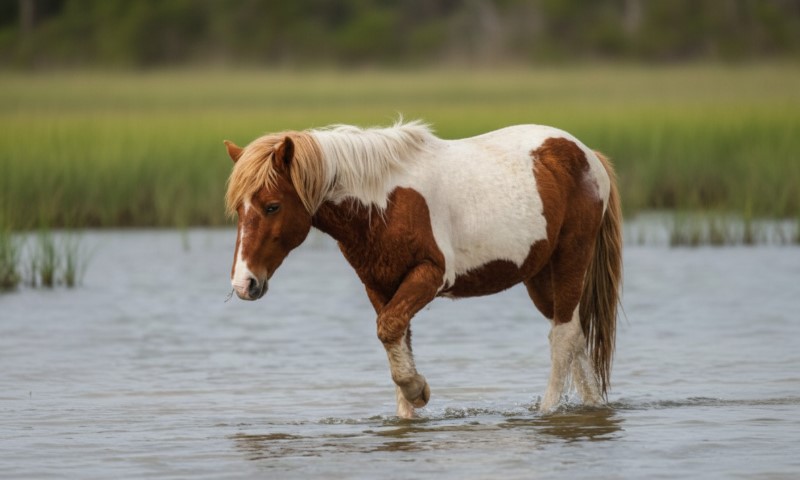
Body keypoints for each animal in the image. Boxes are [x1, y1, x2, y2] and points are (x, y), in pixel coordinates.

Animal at [224, 120, 622, 418]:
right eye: (240, 209)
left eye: (272, 206)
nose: (245, 283)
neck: (382, 204)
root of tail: (587, 155)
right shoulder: (380, 286)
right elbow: (396, 337)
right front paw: (409, 408)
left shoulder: (429, 275)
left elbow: (389, 330)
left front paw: (418, 390)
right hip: (540, 277)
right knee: (576, 337)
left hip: (571, 258)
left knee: (563, 338)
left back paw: (548, 410)